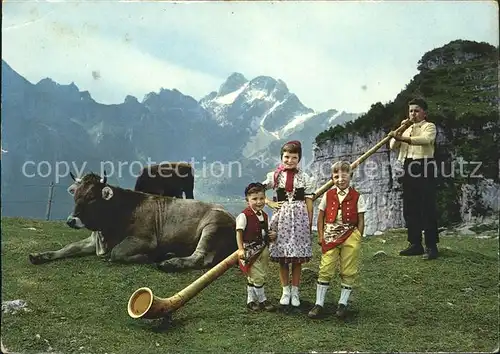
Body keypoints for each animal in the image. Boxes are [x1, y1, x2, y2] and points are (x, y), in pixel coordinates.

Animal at [27, 171, 238, 272]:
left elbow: (116, 253)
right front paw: (39, 255)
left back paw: (169, 263)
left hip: (212, 227)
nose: (72, 220)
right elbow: (68, 247)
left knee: (200, 258)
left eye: (92, 197)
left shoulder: (145, 240)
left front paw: (147, 257)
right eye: (76, 195)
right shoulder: (93, 240)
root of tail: (232, 216)